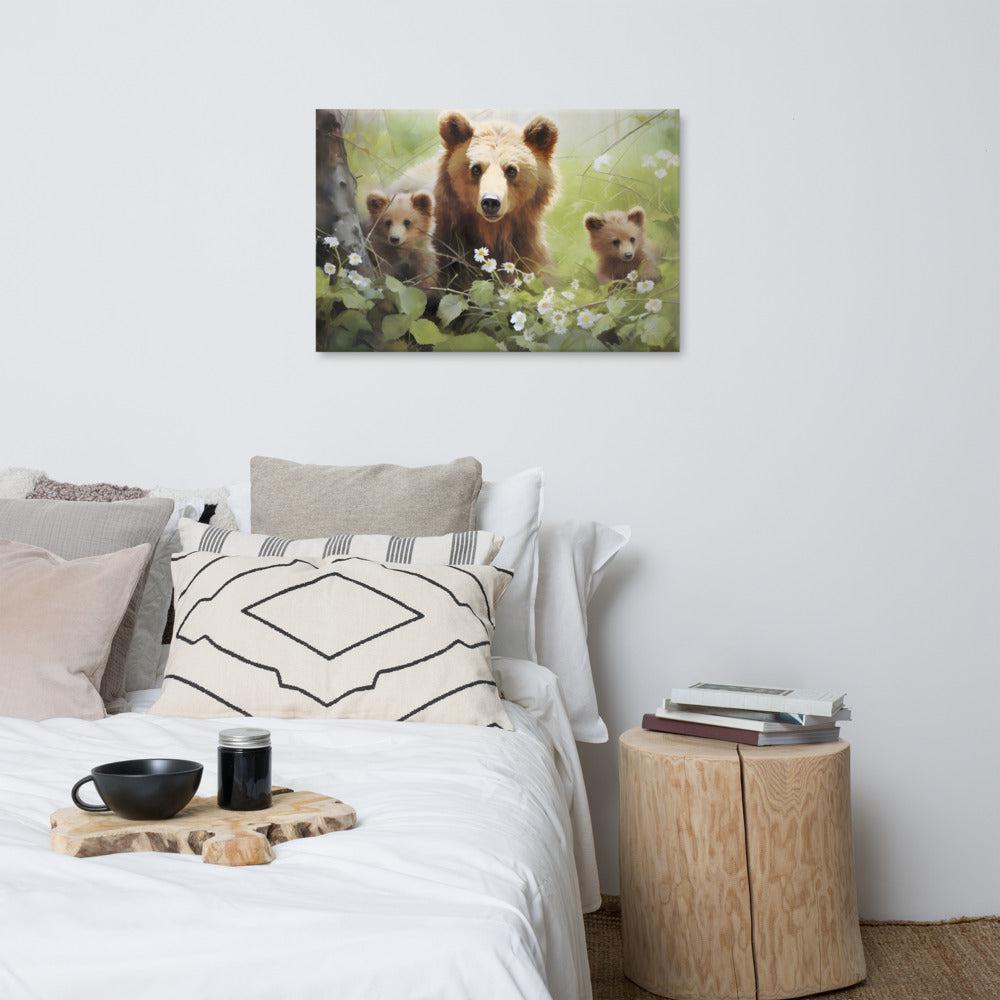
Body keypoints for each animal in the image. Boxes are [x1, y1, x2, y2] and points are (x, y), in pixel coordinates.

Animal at [434, 111, 559, 288]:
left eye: (511, 170)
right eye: (476, 168)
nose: (491, 201)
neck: (492, 231)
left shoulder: (527, 249)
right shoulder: (449, 246)